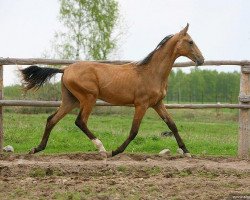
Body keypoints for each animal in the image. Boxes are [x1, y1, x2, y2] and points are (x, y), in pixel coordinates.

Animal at [19, 23, 203, 158]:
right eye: (190, 41)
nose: (201, 59)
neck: (151, 72)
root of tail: (65, 70)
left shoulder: (157, 103)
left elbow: (172, 125)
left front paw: (187, 152)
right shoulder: (141, 104)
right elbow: (134, 131)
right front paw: (115, 151)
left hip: (71, 100)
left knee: (52, 119)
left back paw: (36, 149)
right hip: (89, 97)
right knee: (80, 121)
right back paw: (102, 149)